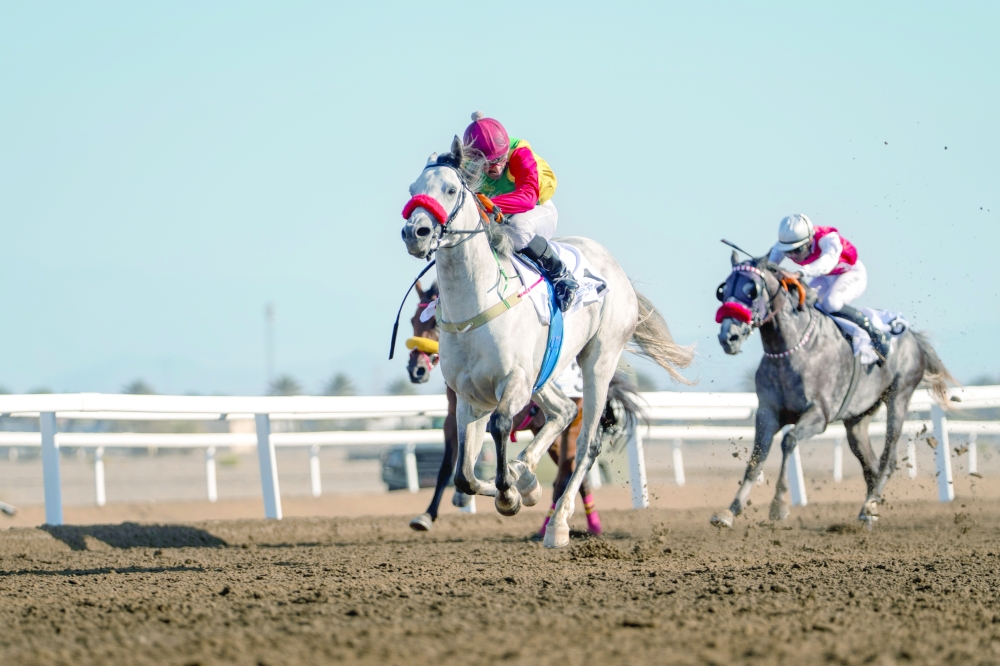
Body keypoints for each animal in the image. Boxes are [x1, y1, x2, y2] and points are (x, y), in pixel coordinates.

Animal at [403, 280, 644, 537]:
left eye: (432, 322)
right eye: (413, 320)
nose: (416, 369)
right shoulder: (452, 418)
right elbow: (450, 467)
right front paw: (428, 515)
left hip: (572, 428)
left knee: (563, 475)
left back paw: (551, 524)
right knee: (577, 477)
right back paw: (585, 524)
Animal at [710, 252, 954, 527]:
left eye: (751, 290)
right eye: (723, 290)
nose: (728, 337)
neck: (789, 350)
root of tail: (911, 335)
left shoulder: (819, 414)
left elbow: (789, 441)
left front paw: (778, 505)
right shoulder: (767, 413)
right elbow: (756, 457)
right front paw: (730, 511)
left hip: (899, 396)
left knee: (888, 460)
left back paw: (868, 507)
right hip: (858, 418)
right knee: (870, 464)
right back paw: (869, 511)